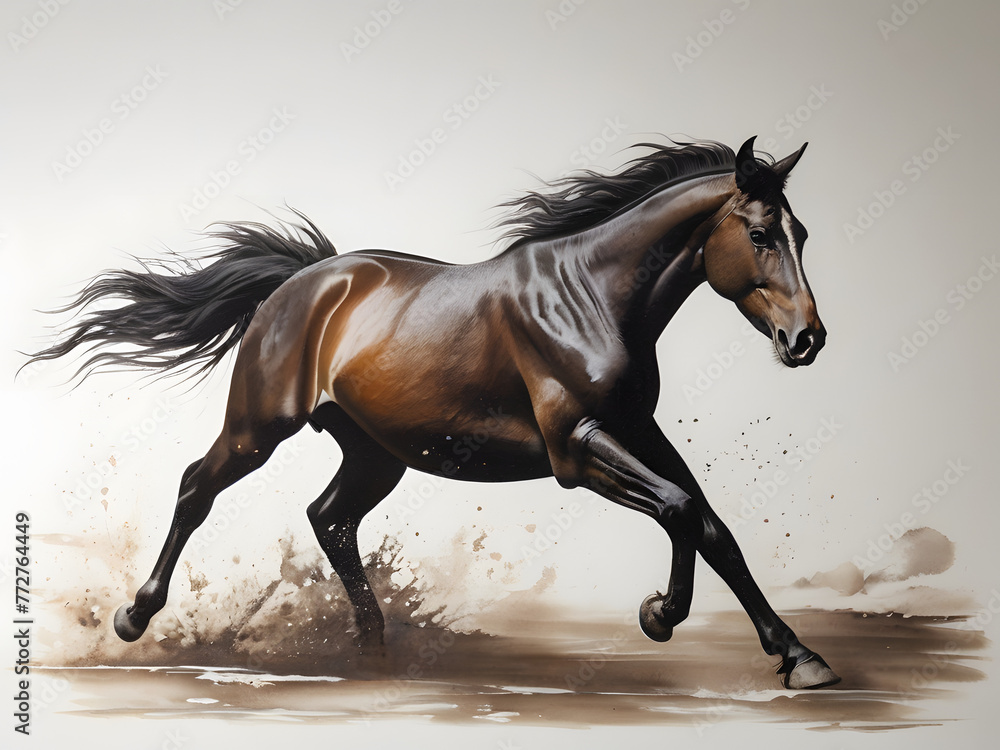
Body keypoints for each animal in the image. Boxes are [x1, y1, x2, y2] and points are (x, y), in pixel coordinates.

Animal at [25, 137, 839, 689]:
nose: (807, 340)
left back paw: (373, 649)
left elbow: (711, 527)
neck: (593, 297)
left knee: (329, 517)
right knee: (198, 487)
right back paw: (135, 617)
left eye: (802, 235)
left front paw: (801, 657)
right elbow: (678, 510)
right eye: (760, 234)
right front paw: (659, 615)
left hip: (375, 452)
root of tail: (300, 281)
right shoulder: (576, 449)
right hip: (259, 428)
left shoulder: (639, 432)